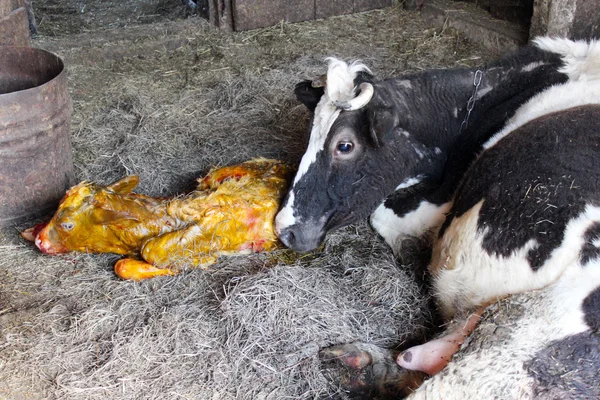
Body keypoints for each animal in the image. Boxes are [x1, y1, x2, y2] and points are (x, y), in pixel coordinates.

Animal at [278, 36, 600, 396]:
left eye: (344, 146)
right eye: (309, 135)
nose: (285, 229)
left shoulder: (436, 202)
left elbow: (383, 216)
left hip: (521, 332)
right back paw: (357, 365)